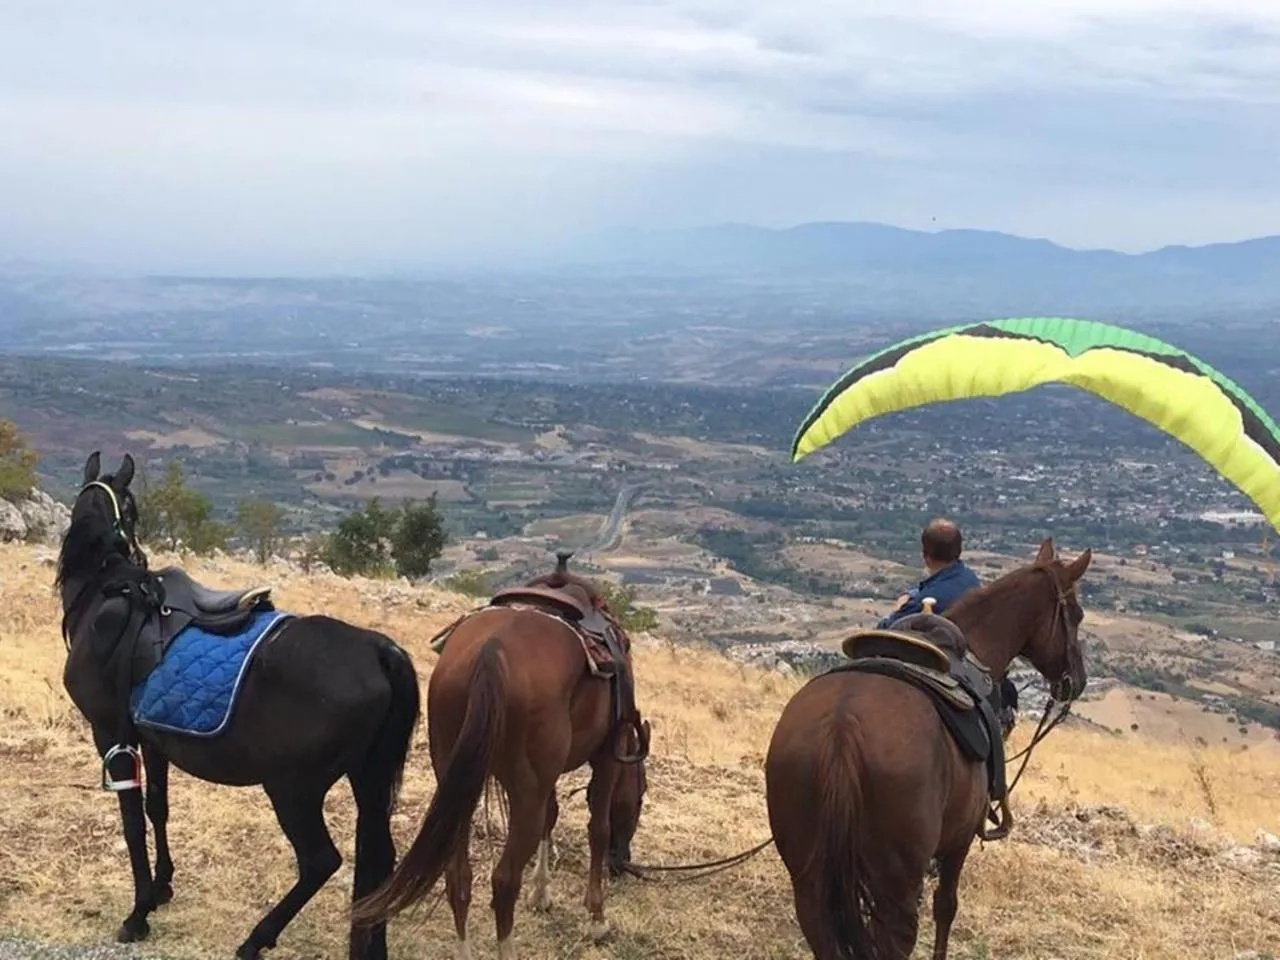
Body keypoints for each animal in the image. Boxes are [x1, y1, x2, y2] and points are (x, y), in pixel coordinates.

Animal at [54, 452, 422, 960]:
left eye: (131, 511)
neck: (105, 592)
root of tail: (378, 650)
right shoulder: (152, 739)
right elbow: (156, 808)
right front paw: (163, 887)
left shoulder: (110, 733)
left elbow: (131, 822)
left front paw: (139, 912)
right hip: (367, 777)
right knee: (380, 856)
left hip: (293, 787)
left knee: (320, 861)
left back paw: (256, 938)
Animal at [350, 554, 650, 960]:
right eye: (640, 798)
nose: (623, 864)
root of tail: (492, 651)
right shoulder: (606, 756)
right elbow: (597, 829)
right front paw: (596, 919)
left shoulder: (545, 777)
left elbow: (552, 816)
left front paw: (541, 893)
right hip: (523, 793)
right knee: (505, 880)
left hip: (458, 783)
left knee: (458, 875)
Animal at [765, 538, 1091, 960]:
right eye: (1077, 615)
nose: (1077, 681)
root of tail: (841, 729)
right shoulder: (959, 841)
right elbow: (946, 907)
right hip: (896, 882)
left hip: (809, 875)